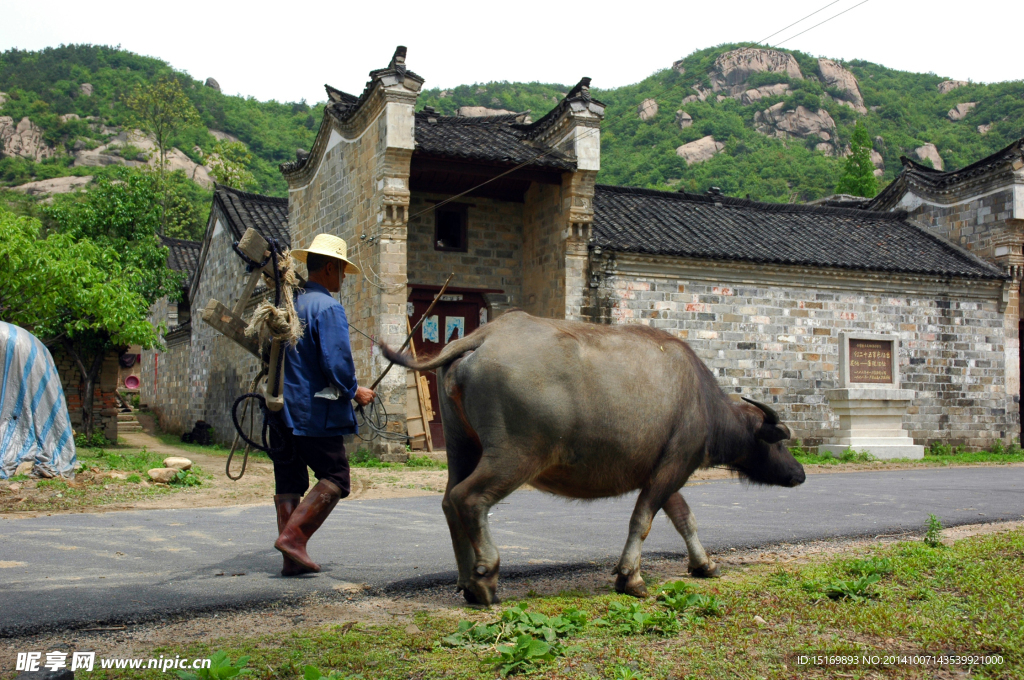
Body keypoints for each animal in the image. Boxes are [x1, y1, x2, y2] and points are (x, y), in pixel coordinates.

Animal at [380, 311, 802, 602]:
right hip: (516, 455)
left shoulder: (662, 472)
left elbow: (685, 519)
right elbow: (642, 521)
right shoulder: (674, 467)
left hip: (461, 446)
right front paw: (630, 577)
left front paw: (705, 564)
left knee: (449, 501)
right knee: (469, 497)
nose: (799, 473)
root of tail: (485, 335)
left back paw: (466, 580)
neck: (703, 403)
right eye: (777, 443)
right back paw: (484, 580)